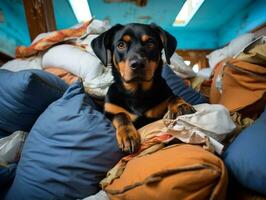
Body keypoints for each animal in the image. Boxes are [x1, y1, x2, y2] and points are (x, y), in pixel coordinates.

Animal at [91, 23, 195, 154]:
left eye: (150, 43)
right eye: (121, 45)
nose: (137, 64)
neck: (137, 92)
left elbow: (173, 96)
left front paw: (181, 106)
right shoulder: (110, 111)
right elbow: (121, 115)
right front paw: (128, 135)